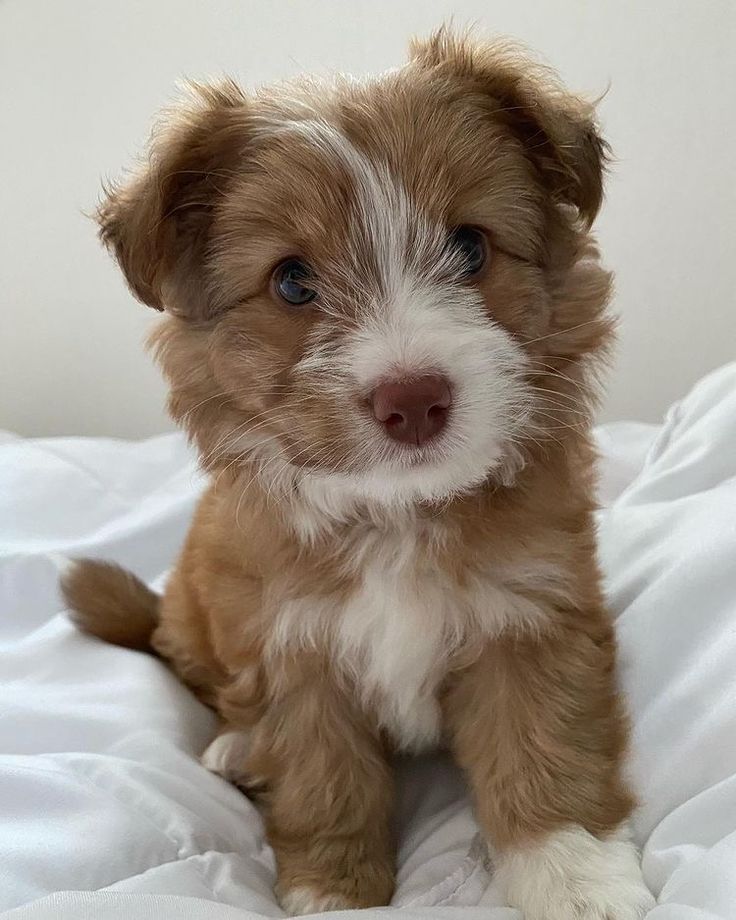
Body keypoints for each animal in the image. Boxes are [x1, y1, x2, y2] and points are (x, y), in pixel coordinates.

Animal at [64, 28, 656, 920]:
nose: (412, 400)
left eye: (471, 246)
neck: (397, 513)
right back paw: (236, 746)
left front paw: (575, 876)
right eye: (291, 282)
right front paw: (335, 890)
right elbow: (323, 775)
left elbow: (545, 743)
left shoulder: (533, 612)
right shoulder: (291, 648)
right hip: (199, 610)